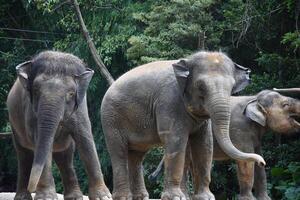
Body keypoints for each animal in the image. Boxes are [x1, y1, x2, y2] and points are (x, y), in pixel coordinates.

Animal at [7, 50, 112, 200]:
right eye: (36, 90)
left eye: (71, 94)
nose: (32, 187)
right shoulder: (31, 112)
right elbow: (40, 140)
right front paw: (45, 197)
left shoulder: (81, 107)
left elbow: (85, 138)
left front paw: (103, 197)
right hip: (14, 126)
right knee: (24, 155)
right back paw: (23, 197)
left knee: (65, 156)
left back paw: (75, 197)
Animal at [100, 50, 264, 200]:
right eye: (201, 86)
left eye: (231, 87)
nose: (262, 162)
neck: (187, 61)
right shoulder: (169, 100)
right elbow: (176, 139)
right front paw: (175, 197)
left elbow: (205, 144)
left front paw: (205, 197)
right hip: (111, 119)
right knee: (118, 152)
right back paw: (123, 197)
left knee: (136, 155)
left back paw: (140, 197)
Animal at [151, 89, 300, 200]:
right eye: (285, 105)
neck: (253, 98)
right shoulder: (240, 129)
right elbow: (246, 163)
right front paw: (248, 199)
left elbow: (258, 160)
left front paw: (264, 198)